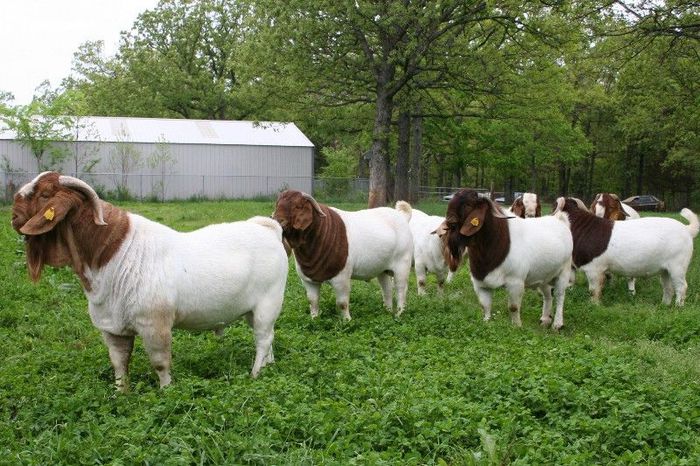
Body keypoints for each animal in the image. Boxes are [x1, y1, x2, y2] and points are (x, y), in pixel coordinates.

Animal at [10, 171, 288, 390]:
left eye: (45, 193)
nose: (13, 214)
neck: (115, 254)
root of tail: (268, 229)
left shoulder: (155, 324)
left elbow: (160, 363)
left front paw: (166, 392)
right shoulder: (112, 329)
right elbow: (119, 364)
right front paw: (121, 394)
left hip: (269, 303)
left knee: (263, 339)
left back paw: (255, 374)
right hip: (253, 311)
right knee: (269, 336)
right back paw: (269, 366)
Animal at [274, 190, 412, 320]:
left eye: (298, 206)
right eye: (277, 204)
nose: (278, 220)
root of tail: (402, 216)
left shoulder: (341, 278)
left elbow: (342, 303)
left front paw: (347, 321)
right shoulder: (308, 281)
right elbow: (312, 301)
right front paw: (314, 319)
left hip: (402, 264)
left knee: (401, 289)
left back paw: (399, 314)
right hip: (382, 269)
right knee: (387, 288)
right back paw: (387, 311)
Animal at [442, 188, 576, 328]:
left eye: (468, 204)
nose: (449, 222)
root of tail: (559, 219)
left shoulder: (515, 282)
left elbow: (513, 307)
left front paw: (517, 327)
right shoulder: (480, 283)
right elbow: (485, 305)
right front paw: (486, 322)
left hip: (564, 271)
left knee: (560, 295)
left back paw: (557, 324)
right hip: (544, 275)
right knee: (548, 294)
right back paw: (545, 319)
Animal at [556, 197, 696, 306]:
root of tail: (687, 229)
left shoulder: (594, 269)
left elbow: (594, 289)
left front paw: (594, 305)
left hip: (678, 265)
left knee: (681, 286)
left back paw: (678, 307)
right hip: (665, 269)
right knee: (668, 287)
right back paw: (664, 305)